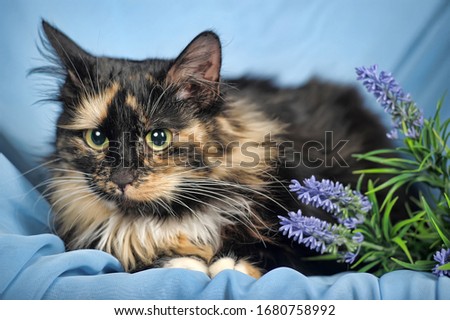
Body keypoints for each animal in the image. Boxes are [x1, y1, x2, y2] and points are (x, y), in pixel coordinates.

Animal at [37, 20, 392, 278]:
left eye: (158, 137)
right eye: (96, 138)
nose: (122, 178)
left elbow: (287, 252)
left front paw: (231, 261)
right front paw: (182, 261)